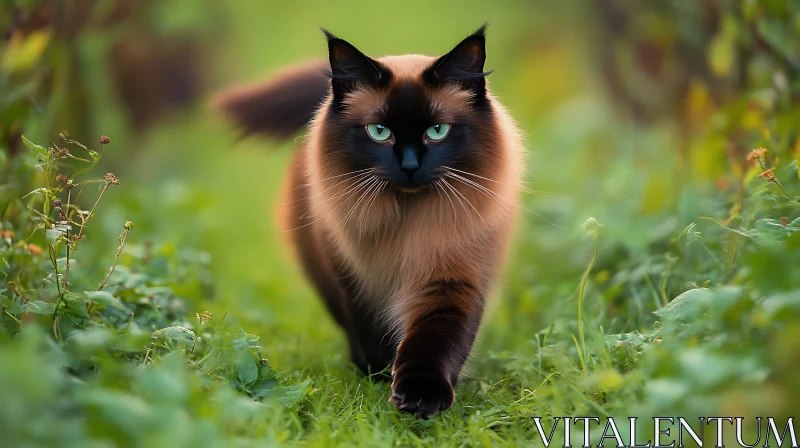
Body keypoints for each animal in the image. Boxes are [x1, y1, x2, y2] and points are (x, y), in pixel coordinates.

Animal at [212, 23, 524, 416]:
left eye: (437, 131)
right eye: (379, 132)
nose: (410, 166)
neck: (408, 226)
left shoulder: (451, 277)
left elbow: (433, 343)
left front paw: (420, 398)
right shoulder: (357, 280)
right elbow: (370, 331)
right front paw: (379, 376)